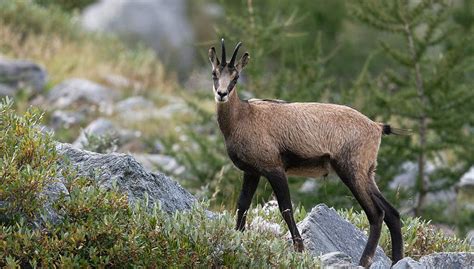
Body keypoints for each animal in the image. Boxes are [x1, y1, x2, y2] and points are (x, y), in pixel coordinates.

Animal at [209, 39, 406, 266]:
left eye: (236, 77)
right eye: (214, 73)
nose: (221, 94)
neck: (242, 117)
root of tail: (376, 126)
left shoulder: (274, 169)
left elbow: (286, 208)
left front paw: (300, 249)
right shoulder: (251, 172)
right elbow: (243, 205)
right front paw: (237, 239)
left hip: (352, 171)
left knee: (376, 213)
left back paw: (364, 261)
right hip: (367, 174)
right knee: (392, 213)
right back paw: (397, 260)